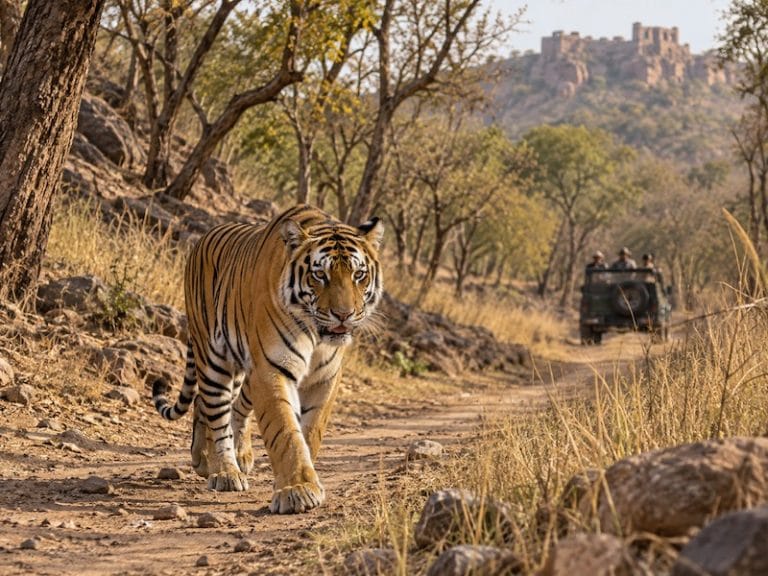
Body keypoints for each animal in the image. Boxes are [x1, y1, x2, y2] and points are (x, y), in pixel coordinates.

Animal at [151, 204, 383, 514]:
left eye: (358, 275)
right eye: (320, 275)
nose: (343, 315)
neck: (317, 334)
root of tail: (203, 237)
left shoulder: (325, 377)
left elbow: (311, 431)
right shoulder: (272, 369)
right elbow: (285, 432)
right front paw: (298, 490)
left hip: (244, 371)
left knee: (220, 404)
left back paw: (220, 458)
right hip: (213, 358)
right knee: (215, 411)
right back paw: (224, 470)